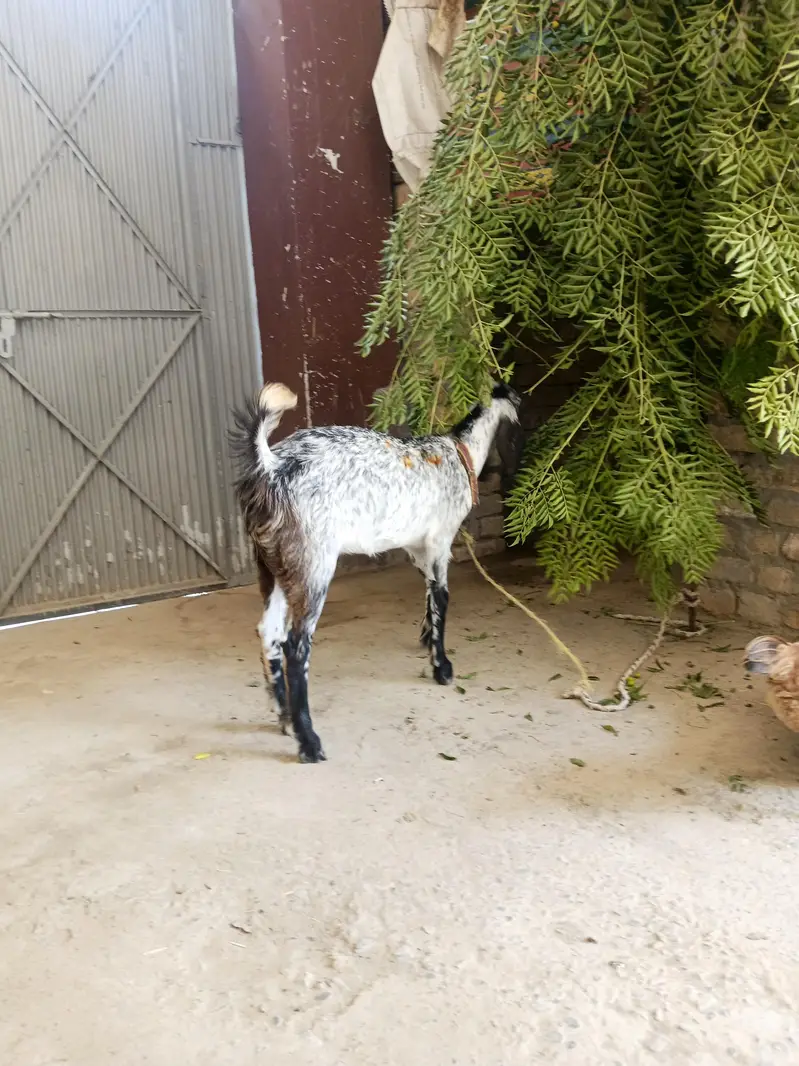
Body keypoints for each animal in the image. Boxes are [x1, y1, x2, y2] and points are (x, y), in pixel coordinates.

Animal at [231, 382, 523, 763]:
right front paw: (442, 667)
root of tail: (271, 466)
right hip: (313, 561)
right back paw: (309, 742)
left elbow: (428, 592)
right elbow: (442, 597)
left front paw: (426, 638)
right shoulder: (440, 540)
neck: (460, 454)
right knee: (297, 645)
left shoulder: (416, 547)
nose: (502, 478)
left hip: (272, 563)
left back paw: (285, 719)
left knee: (270, 632)